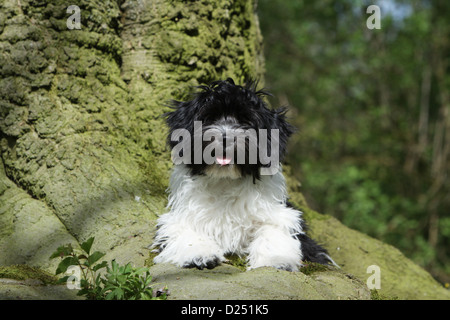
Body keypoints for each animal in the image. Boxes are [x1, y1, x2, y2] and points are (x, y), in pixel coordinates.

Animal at [153, 79, 332, 272]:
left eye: (246, 121)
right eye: (209, 117)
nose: (225, 138)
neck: (225, 180)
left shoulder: (282, 215)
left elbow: (274, 230)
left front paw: (277, 259)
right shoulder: (180, 217)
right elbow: (183, 231)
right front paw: (198, 254)